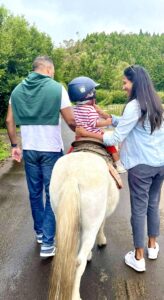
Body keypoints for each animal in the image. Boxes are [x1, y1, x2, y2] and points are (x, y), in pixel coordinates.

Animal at [48, 152, 119, 300]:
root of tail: (72, 174)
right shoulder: (99, 217)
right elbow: (102, 225)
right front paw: (101, 242)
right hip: (90, 225)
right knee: (78, 261)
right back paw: (75, 295)